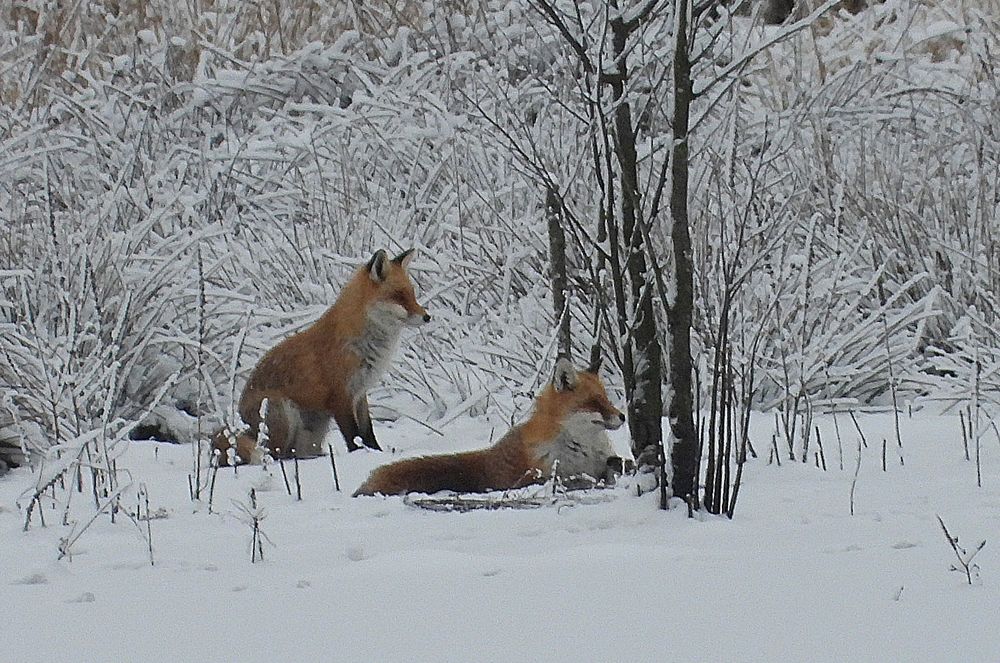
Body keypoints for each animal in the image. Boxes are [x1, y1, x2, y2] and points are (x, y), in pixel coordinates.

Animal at [213, 250, 428, 466]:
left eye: (412, 294)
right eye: (398, 296)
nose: (427, 317)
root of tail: (239, 423)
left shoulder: (359, 393)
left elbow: (368, 432)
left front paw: (377, 453)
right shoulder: (340, 396)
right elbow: (353, 435)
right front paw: (361, 456)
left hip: (313, 432)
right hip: (281, 410)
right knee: (274, 455)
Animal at [354, 358, 624, 498]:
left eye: (606, 399)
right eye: (594, 402)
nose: (622, 416)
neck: (584, 449)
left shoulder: (604, 463)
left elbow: (612, 469)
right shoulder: (542, 477)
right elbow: (581, 480)